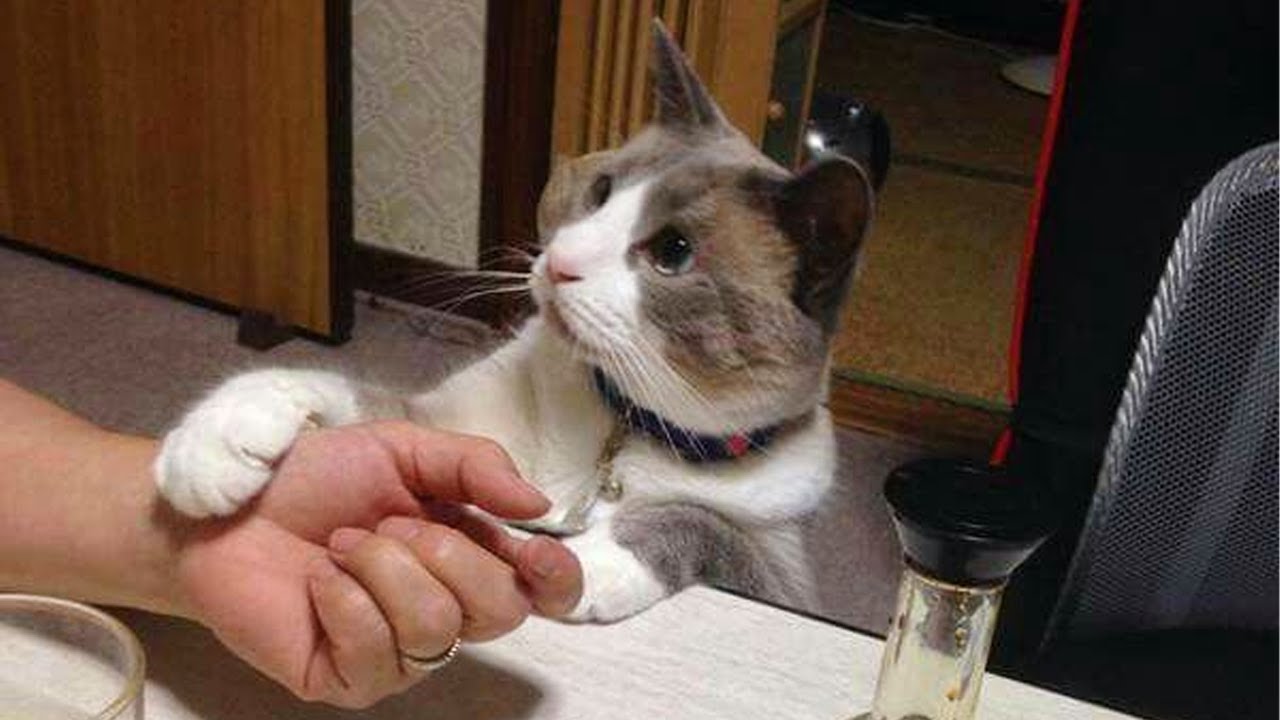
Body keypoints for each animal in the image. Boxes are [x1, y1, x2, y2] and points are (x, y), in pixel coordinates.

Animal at [155, 21, 873, 622]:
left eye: (673, 252)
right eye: (602, 192)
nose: (561, 263)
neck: (620, 427)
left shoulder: (779, 577)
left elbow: (696, 520)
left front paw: (582, 563)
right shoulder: (442, 430)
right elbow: (341, 392)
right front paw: (214, 444)